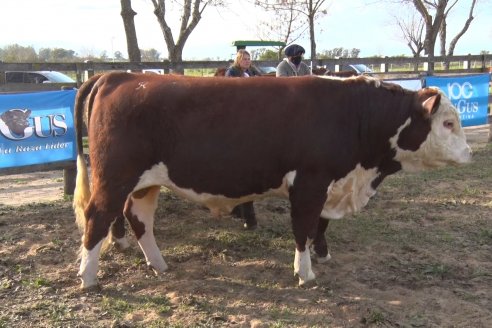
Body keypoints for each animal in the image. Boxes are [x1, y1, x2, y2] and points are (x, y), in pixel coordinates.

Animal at [72, 72, 468, 290]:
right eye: (448, 123)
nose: (468, 153)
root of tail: (119, 76)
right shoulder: (309, 182)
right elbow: (303, 227)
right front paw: (304, 272)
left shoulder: (330, 184)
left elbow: (320, 225)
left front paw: (322, 255)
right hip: (115, 177)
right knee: (98, 218)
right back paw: (88, 279)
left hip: (144, 183)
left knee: (139, 219)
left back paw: (159, 265)